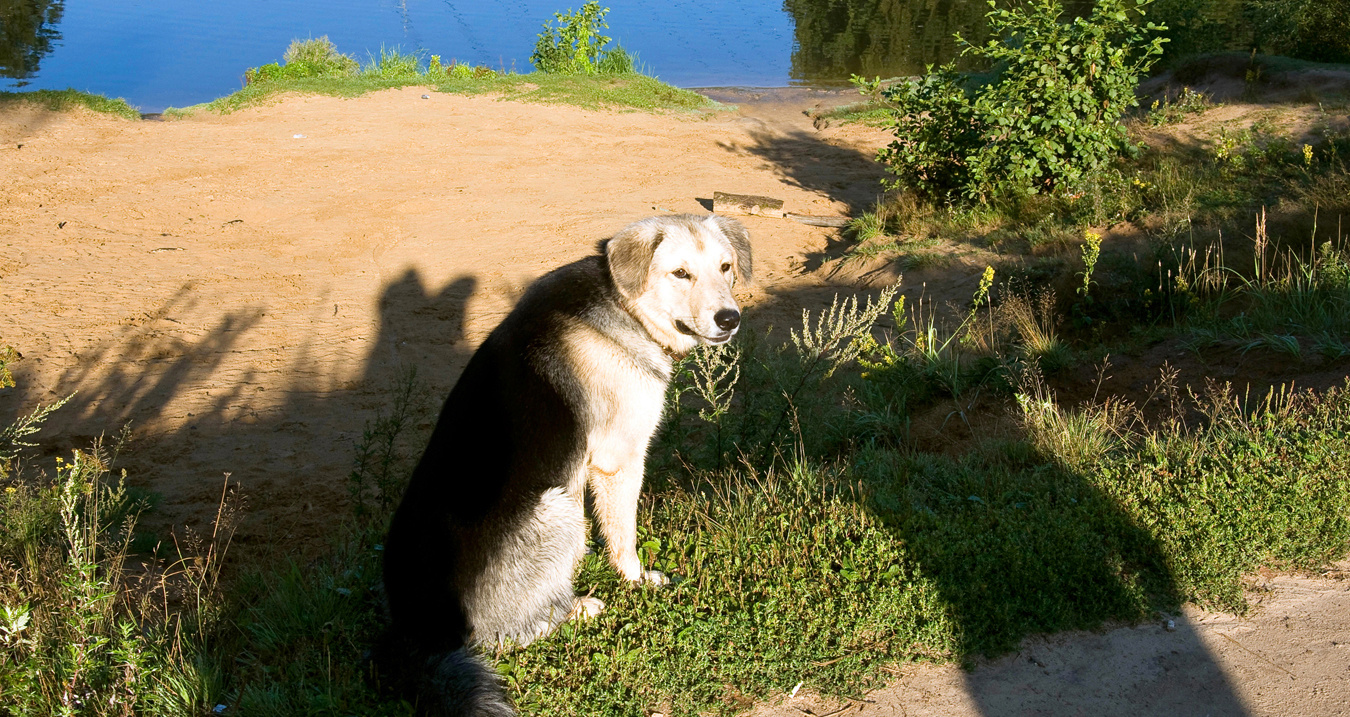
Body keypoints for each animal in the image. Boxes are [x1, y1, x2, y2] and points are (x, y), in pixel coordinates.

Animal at [378, 214, 752, 716]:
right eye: (680, 274)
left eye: (726, 267)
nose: (729, 319)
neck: (624, 305)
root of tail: (419, 631)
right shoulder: (618, 459)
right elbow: (624, 537)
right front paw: (635, 580)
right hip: (558, 508)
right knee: (504, 636)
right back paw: (574, 608)